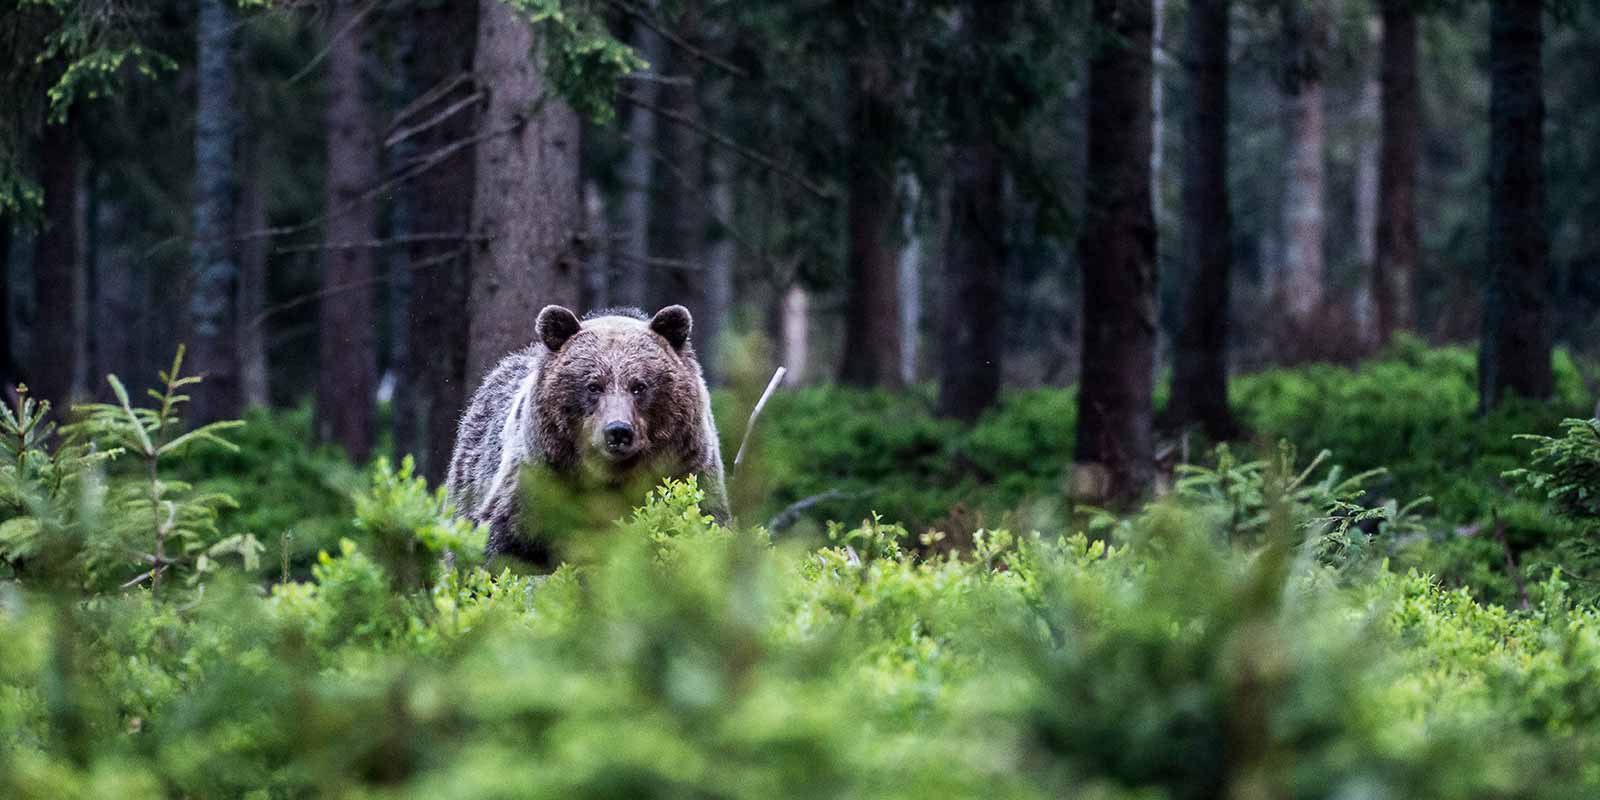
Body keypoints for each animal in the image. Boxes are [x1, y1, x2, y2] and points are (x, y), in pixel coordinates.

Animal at [446, 304, 729, 565]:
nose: (618, 431)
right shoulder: (538, 482)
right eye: (594, 386)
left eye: (639, 386)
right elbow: (500, 543)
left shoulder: (687, 471)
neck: (611, 477)